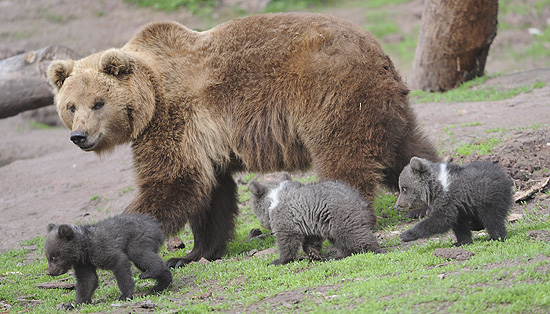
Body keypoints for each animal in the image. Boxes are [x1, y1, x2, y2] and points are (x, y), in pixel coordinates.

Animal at [47, 12, 440, 268]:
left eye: (98, 102)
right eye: (70, 105)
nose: (79, 136)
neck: (151, 97)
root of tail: (375, 50)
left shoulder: (174, 119)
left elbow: (173, 182)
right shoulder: (203, 141)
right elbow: (210, 197)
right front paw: (191, 253)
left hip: (331, 94)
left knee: (344, 158)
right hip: (384, 107)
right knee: (406, 150)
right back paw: (426, 198)